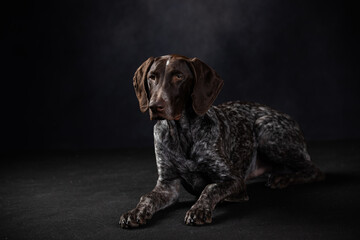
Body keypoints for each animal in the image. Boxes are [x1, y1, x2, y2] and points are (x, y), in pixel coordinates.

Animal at [119, 54, 324, 229]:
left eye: (179, 76)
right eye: (152, 77)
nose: (155, 106)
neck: (181, 133)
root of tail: (289, 118)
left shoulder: (234, 180)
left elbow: (210, 188)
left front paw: (199, 209)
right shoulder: (167, 184)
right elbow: (147, 197)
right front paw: (135, 212)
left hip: (266, 130)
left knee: (314, 170)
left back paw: (284, 178)